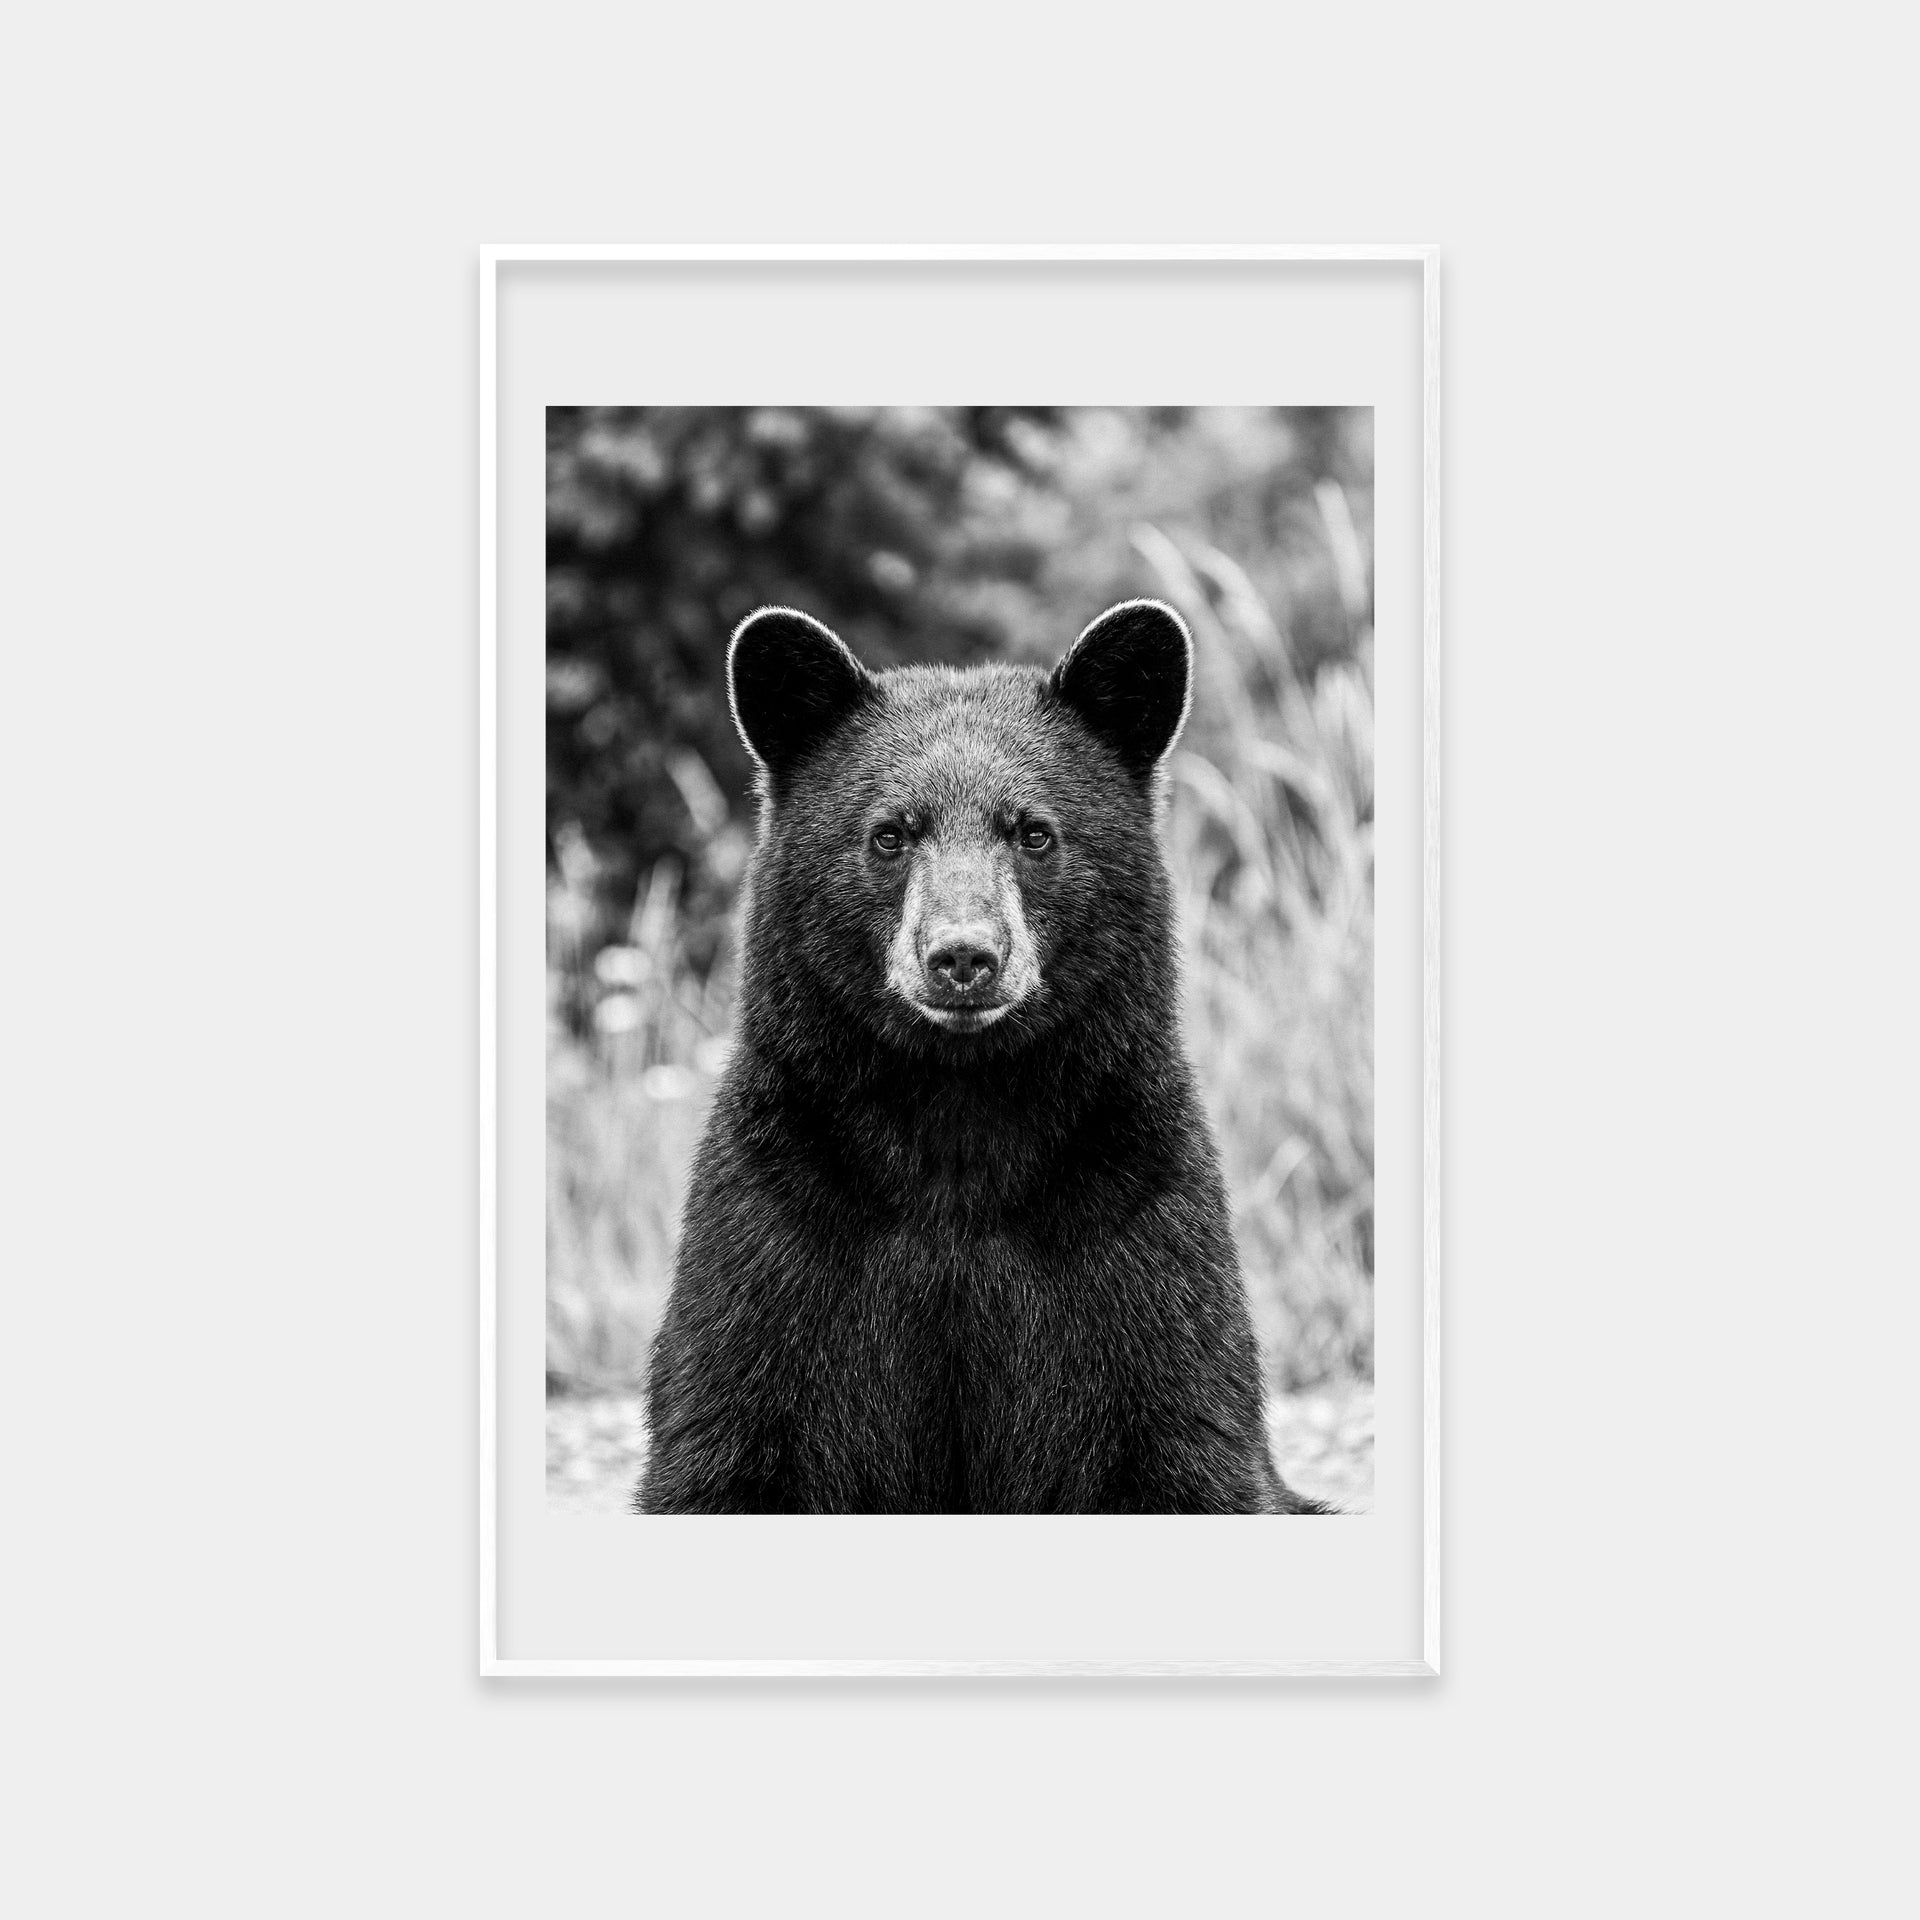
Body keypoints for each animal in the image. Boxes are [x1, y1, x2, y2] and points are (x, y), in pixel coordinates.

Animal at [634, 598, 1329, 1514]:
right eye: (890, 834)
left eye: (1034, 832)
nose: (963, 955)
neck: (958, 1122)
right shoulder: (777, 1220)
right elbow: (727, 1427)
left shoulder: (1136, 1220)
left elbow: (1181, 1425)